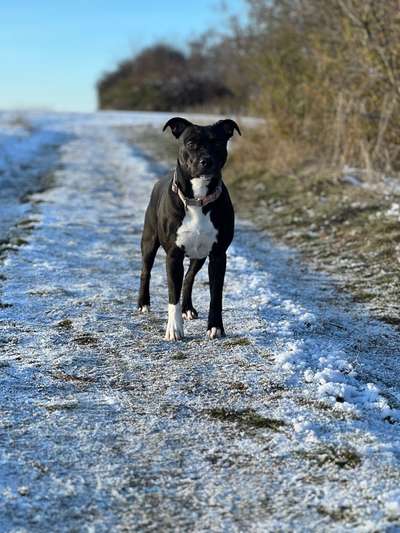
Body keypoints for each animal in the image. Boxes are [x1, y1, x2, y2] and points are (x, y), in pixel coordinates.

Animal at [138, 117, 241, 340]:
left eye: (217, 142)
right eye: (191, 143)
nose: (206, 161)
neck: (198, 200)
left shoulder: (218, 255)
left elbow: (215, 295)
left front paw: (215, 326)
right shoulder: (173, 256)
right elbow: (172, 295)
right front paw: (174, 329)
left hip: (199, 255)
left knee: (188, 278)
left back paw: (188, 308)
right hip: (149, 241)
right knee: (145, 271)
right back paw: (143, 303)